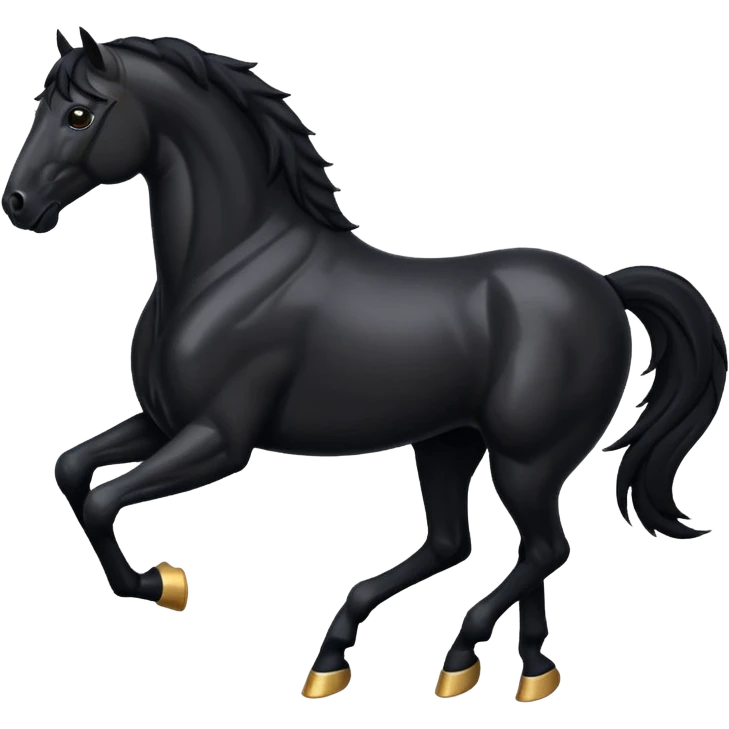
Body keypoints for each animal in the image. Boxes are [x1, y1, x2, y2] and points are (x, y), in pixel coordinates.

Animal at [4, 28, 726, 703]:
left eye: (78, 114)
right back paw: (509, 671)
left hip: (525, 458)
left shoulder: (219, 440)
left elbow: (104, 499)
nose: (18, 205)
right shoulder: (162, 423)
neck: (227, 267)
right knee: (465, 544)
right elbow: (72, 470)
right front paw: (161, 580)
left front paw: (164, 583)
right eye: (42, 105)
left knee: (542, 548)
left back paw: (452, 659)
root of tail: (605, 285)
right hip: (450, 443)